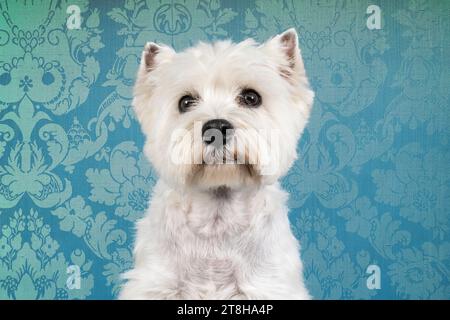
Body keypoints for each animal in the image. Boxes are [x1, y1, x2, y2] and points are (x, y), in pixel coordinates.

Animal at [121, 28, 314, 300]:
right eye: (185, 102)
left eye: (251, 97)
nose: (217, 129)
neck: (217, 218)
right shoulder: (156, 283)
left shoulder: (268, 284)